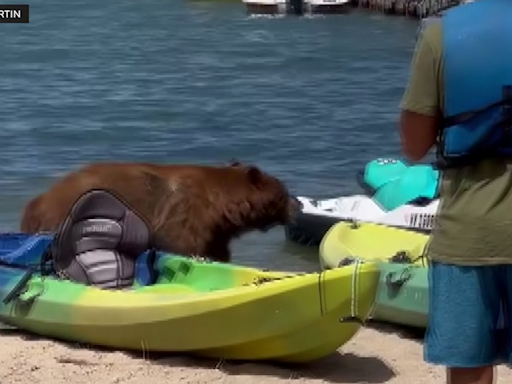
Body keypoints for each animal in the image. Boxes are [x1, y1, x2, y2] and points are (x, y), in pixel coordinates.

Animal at [20, 160, 298, 262]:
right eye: (283, 193)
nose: (296, 204)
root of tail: (38, 201)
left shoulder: (215, 231)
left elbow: (216, 251)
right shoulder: (185, 214)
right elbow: (183, 244)